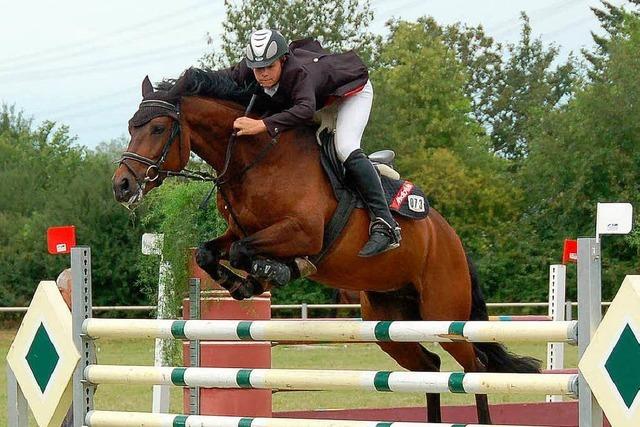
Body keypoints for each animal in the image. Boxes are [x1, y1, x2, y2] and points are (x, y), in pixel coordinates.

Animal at [112, 72, 536, 422]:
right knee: (429, 369)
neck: (256, 160)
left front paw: (271, 273)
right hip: (389, 320)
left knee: (475, 367)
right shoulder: (238, 230)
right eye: (131, 126)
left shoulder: (303, 233)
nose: (122, 185)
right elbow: (210, 252)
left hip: (444, 314)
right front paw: (241, 284)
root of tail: (450, 237)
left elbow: (244, 252)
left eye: (158, 127)